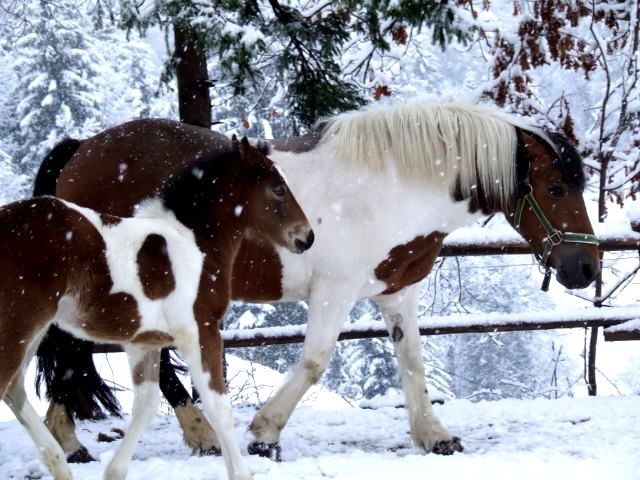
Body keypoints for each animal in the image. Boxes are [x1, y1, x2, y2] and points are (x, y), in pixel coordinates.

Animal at [1, 136, 312, 480]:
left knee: (14, 389)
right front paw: (240, 473)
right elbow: (219, 406)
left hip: (34, 331)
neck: (194, 240)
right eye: (278, 188)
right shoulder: (201, 331)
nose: (306, 236)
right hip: (19, 326)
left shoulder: (144, 342)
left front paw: (114, 472)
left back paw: (59, 463)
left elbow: (146, 406)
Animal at [31, 100, 600, 462]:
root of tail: (82, 148)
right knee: (84, 351)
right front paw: (264, 433)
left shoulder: (397, 293)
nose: (587, 268)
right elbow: (313, 362)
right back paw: (175, 434)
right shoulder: (334, 292)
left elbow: (412, 362)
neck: (394, 184)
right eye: (555, 187)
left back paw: (76, 438)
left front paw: (434, 435)